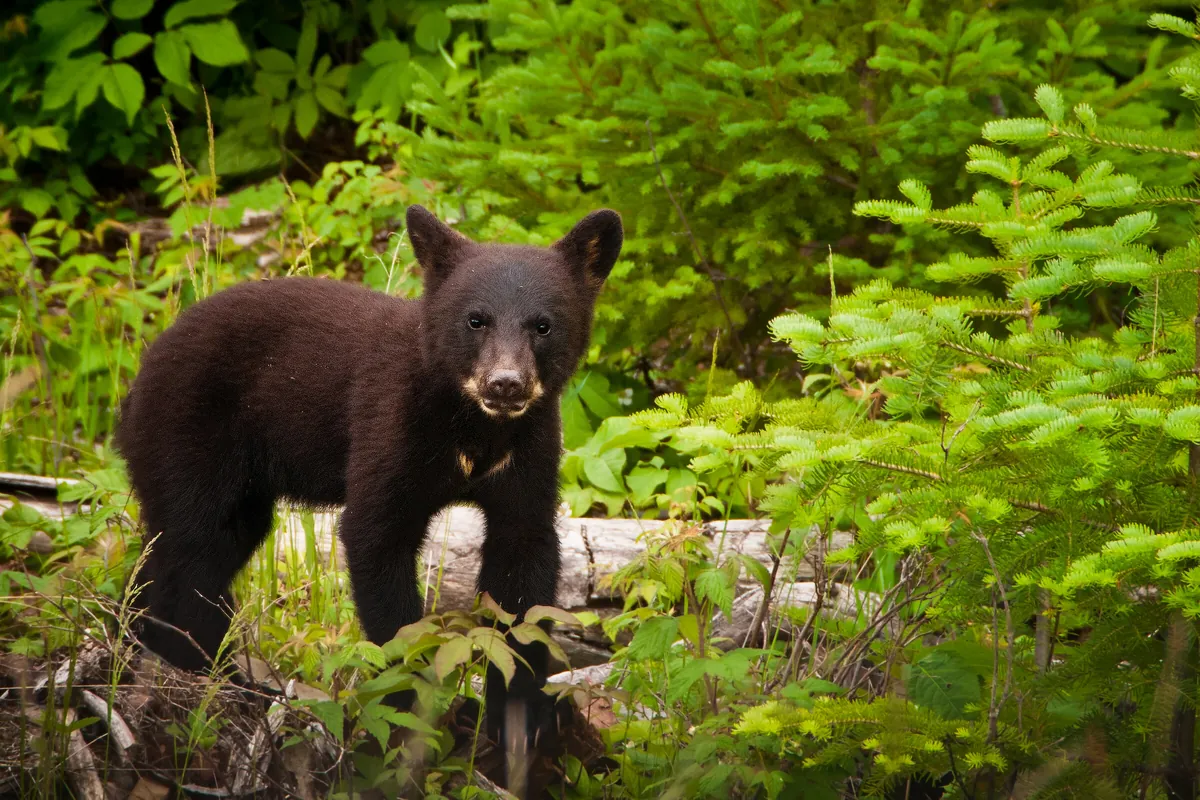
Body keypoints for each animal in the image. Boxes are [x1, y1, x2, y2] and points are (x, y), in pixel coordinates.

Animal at [114, 204, 623, 790]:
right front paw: (410, 706)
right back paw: (207, 679)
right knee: (187, 553)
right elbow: (378, 542)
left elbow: (523, 571)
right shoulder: (391, 427)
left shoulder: (528, 455)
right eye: (476, 319)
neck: (474, 432)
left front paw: (521, 717)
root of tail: (141, 369)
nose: (505, 383)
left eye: (543, 324)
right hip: (188, 437)